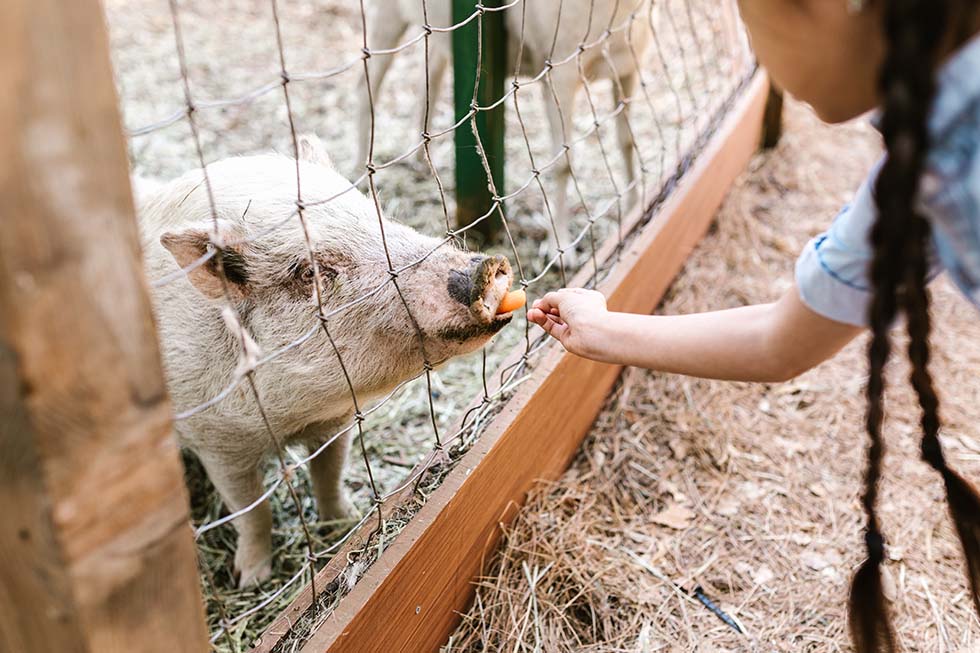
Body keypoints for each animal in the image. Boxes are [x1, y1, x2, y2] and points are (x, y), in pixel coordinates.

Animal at [142, 134, 520, 584]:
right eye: (310, 272)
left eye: (377, 215)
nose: (483, 268)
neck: (290, 419)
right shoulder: (215, 442)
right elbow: (252, 512)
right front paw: (252, 577)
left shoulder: (335, 423)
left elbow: (330, 474)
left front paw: (345, 523)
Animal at [358, 0, 660, 258]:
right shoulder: (558, 73)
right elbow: (563, 161)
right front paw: (560, 247)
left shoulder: (630, 66)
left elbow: (627, 142)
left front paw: (634, 209)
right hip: (385, 16)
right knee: (367, 86)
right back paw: (361, 178)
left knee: (432, 71)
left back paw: (420, 157)